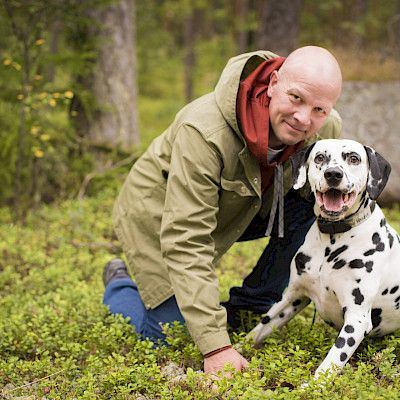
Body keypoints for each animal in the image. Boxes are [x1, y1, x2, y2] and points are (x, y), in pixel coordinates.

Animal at [248, 138, 398, 378]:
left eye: (353, 158)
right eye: (320, 157)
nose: (333, 174)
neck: (333, 239)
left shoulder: (356, 319)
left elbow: (332, 361)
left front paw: (313, 385)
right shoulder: (292, 297)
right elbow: (259, 328)